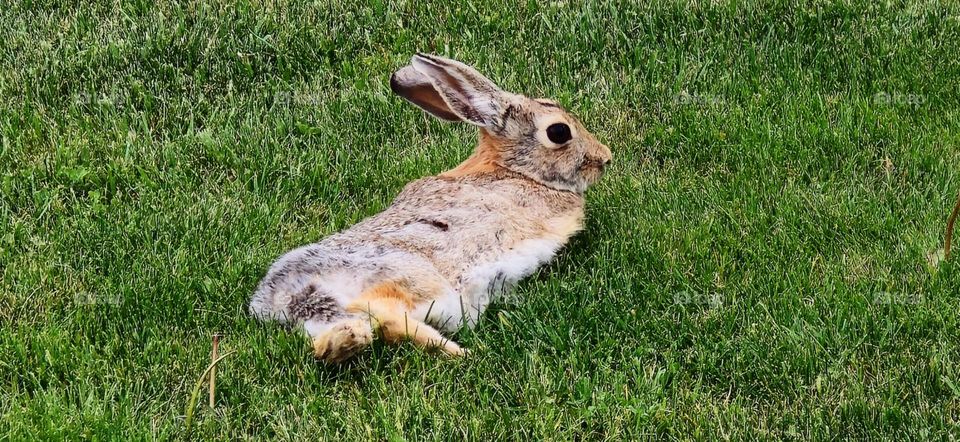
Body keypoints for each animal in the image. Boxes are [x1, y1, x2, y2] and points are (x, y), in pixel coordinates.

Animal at [249, 54, 612, 362]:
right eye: (559, 131)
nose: (605, 158)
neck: (515, 170)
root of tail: (282, 297)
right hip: (415, 278)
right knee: (387, 318)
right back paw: (461, 353)